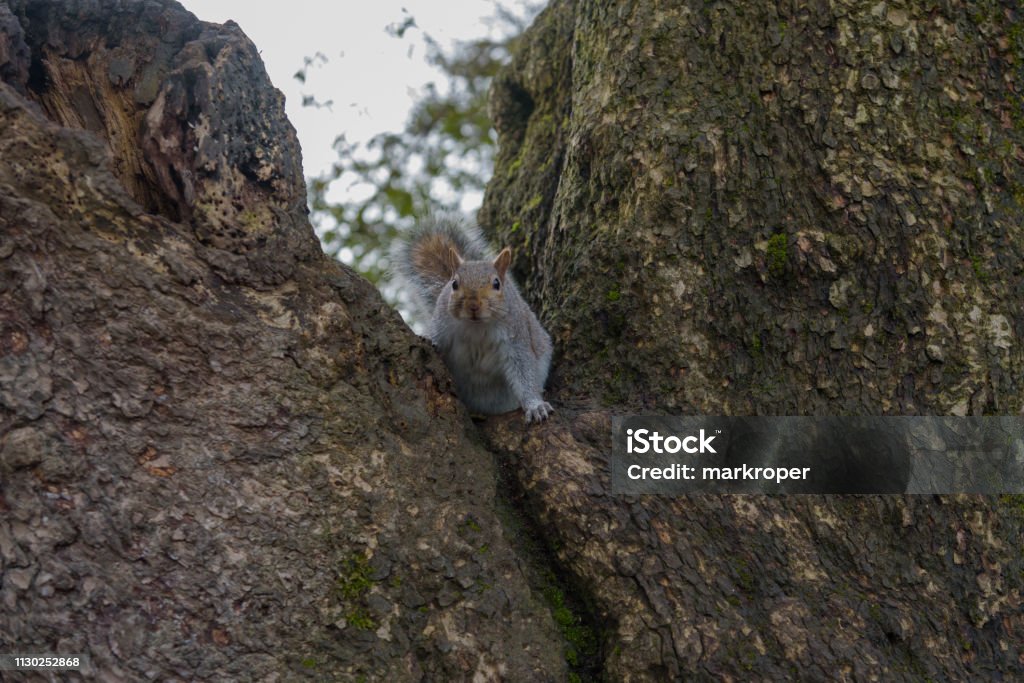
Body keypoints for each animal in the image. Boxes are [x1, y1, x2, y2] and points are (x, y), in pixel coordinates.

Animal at [391, 216, 552, 423]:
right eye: (454, 284)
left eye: (496, 283)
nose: (473, 305)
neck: (477, 326)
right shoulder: (443, 324)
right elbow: (437, 340)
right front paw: (428, 339)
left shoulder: (516, 336)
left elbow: (525, 371)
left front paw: (535, 405)